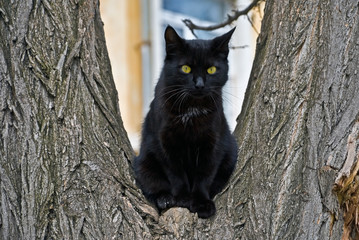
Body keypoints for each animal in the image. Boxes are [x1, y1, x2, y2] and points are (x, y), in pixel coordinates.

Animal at [134, 25, 238, 218]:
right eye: (186, 68)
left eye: (211, 70)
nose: (199, 85)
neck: (192, 110)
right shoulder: (165, 142)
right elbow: (176, 173)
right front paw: (182, 198)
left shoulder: (213, 143)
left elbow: (204, 174)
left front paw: (202, 203)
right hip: (143, 161)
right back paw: (165, 199)